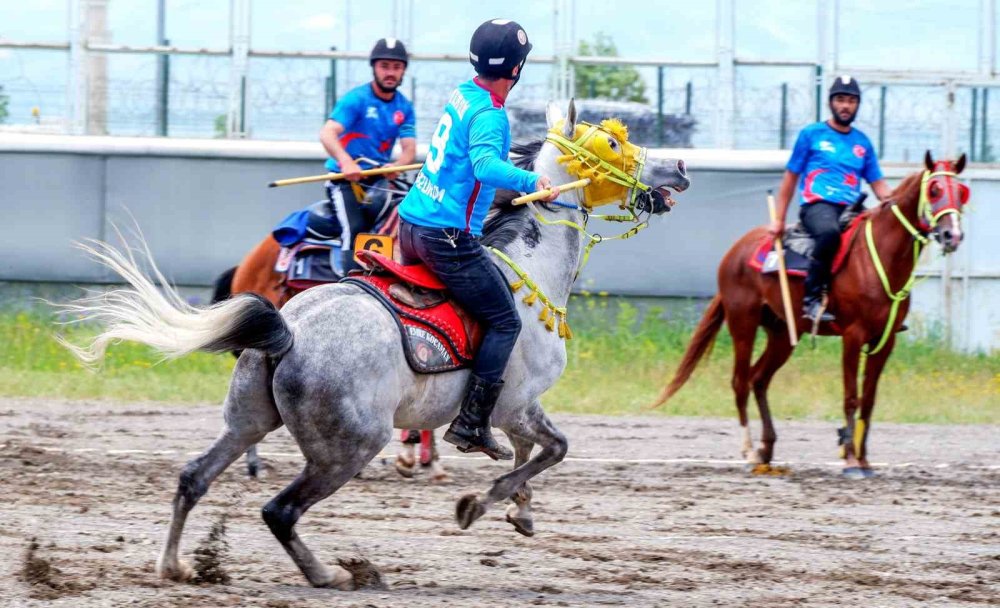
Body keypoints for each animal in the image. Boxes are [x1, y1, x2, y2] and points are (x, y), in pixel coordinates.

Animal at [60, 101, 688, 588]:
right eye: (612, 141)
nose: (680, 165)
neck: (527, 272)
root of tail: (288, 332)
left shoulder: (516, 407)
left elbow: (531, 452)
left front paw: (519, 511)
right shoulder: (513, 402)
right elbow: (549, 449)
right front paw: (479, 504)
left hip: (247, 419)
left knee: (193, 477)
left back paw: (174, 566)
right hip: (351, 445)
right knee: (279, 511)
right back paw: (332, 574)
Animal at [652, 152, 964, 480]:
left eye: (961, 191)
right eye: (934, 190)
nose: (952, 234)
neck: (879, 256)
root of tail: (735, 251)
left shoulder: (885, 340)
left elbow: (868, 400)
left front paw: (864, 459)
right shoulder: (853, 336)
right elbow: (851, 396)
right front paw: (850, 460)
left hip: (782, 334)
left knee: (758, 379)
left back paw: (766, 449)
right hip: (743, 324)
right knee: (740, 382)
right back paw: (749, 451)